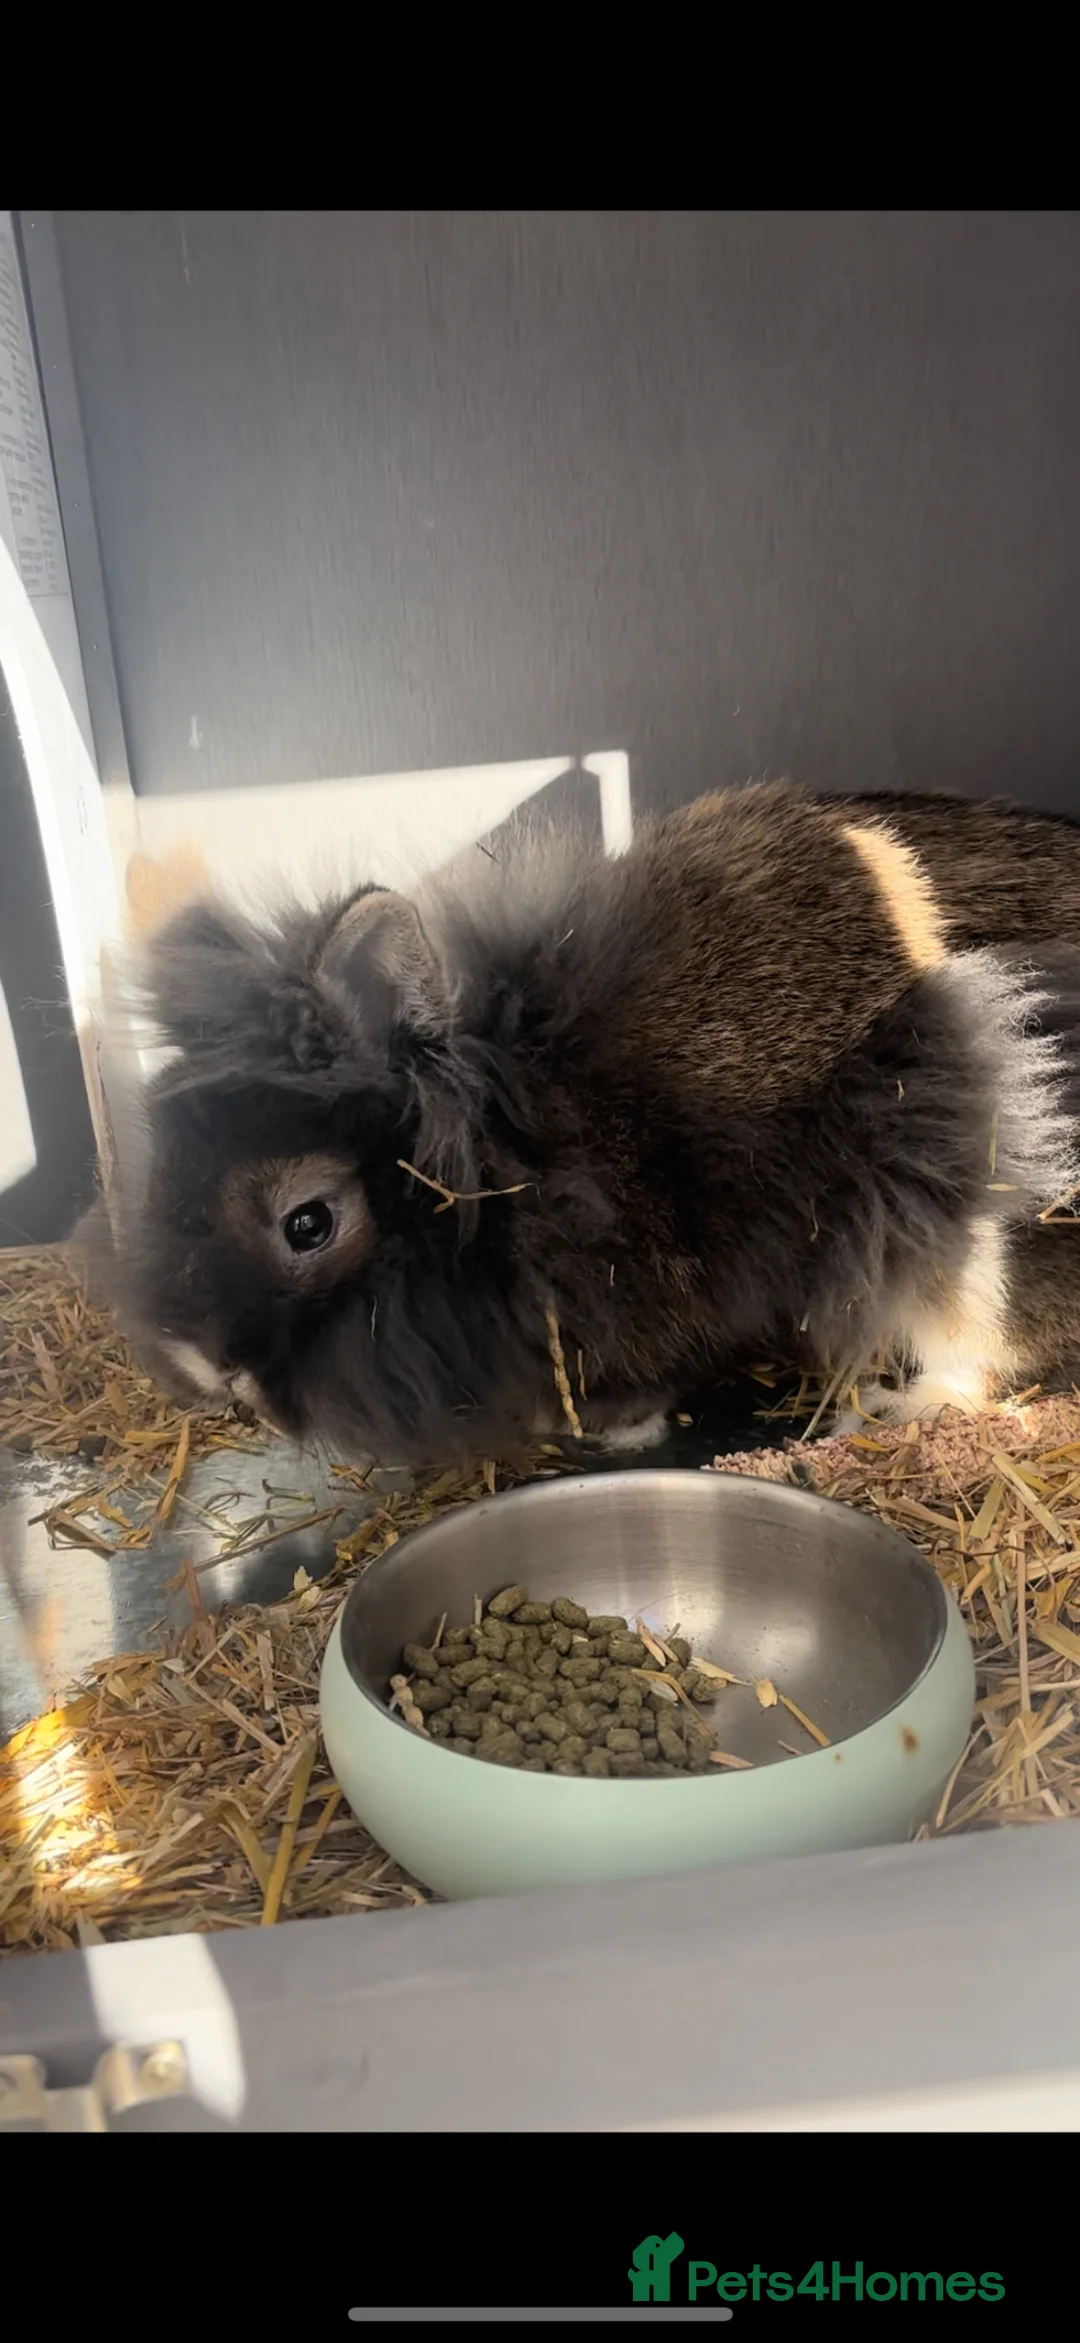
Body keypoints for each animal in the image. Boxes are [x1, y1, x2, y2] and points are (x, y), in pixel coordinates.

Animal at [86, 779, 1080, 1468]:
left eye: (308, 1223)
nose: (202, 1367)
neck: (506, 1161)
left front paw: (609, 1432)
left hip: (971, 1238)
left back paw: (888, 1408)